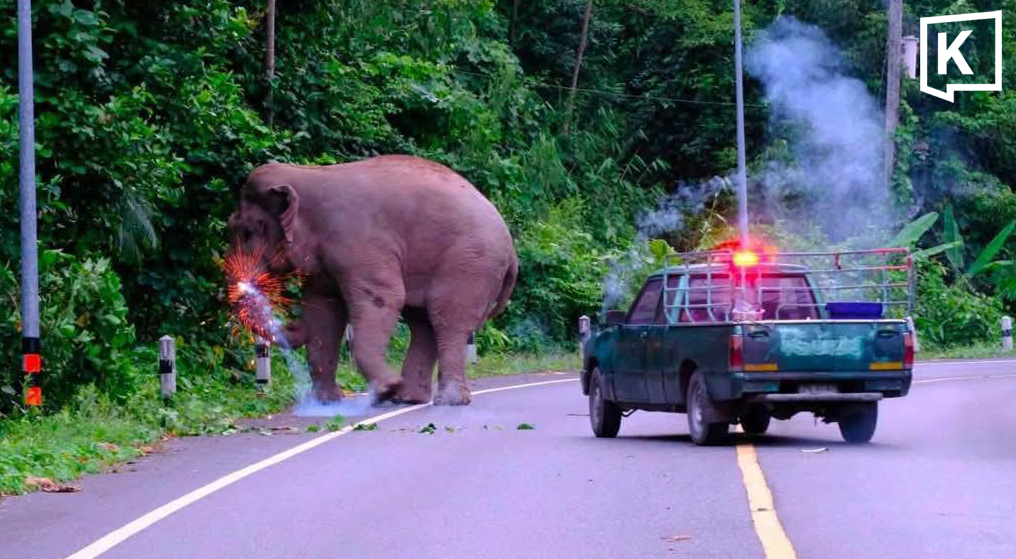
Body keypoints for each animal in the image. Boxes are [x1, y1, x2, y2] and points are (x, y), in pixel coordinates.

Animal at [227, 155, 518, 405]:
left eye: (248, 232)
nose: (291, 323)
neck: (306, 175)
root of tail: (512, 250)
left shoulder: (358, 242)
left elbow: (385, 297)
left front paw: (387, 387)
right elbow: (324, 313)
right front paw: (327, 403)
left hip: (471, 263)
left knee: (446, 318)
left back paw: (446, 401)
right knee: (422, 322)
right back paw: (408, 398)